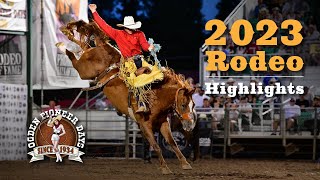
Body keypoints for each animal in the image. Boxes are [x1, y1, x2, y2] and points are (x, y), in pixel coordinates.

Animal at [58, 20, 198, 174]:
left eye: (193, 105)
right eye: (183, 105)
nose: (190, 124)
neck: (156, 96)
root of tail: (103, 46)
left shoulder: (163, 123)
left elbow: (173, 143)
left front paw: (185, 163)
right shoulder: (144, 124)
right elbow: (156, 146)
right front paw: (164, 168)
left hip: (87, 59)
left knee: (84, 45)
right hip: (85, 70)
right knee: (75, 59)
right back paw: (63, 46)